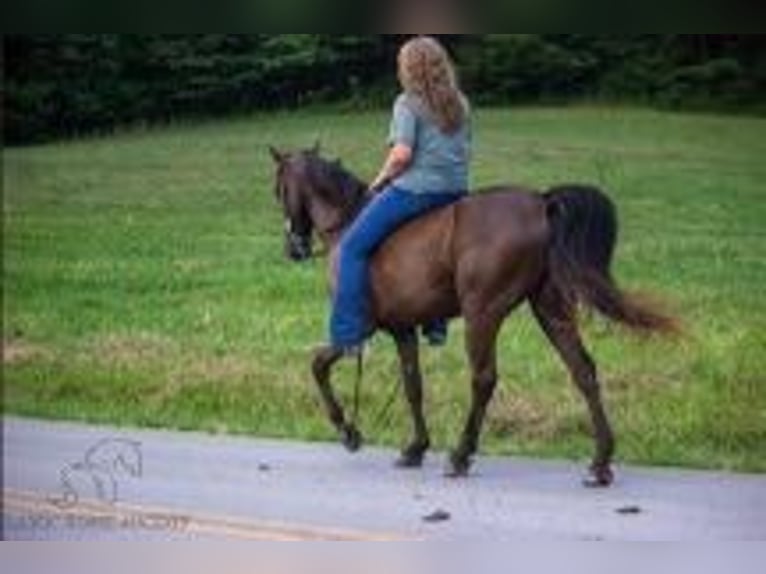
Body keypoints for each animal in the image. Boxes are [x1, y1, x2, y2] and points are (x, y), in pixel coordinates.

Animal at [270, 146, 680, 488]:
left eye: (278, 190)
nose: (294, 248)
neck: (347, 222)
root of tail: (540, 202)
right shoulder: (403, 329)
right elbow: (413, 386)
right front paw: (416, 447)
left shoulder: (361, 326)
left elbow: (318, 366)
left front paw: (347, 431)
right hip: (550, 310)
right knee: (583, 371)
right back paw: (600, 462)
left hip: (482, 313)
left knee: (484, 379)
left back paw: (461, 455)